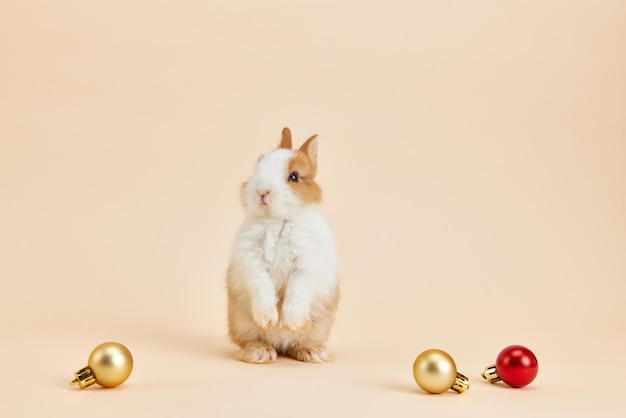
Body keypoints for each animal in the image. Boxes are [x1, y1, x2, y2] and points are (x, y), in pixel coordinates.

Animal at [227, 126, 338, 362]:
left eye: (293, 177)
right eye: (257, 167)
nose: (262, 191)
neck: (278, 221)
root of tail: (280, 347)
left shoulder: (305, 264)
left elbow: (297, 293)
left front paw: (292, 323)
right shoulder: (254, 261)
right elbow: (262, 287)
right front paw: (269, 320)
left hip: (320, 326)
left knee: (297, 344)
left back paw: (313, 352)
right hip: (241, 323)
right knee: (250, 340)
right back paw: (260, 352)